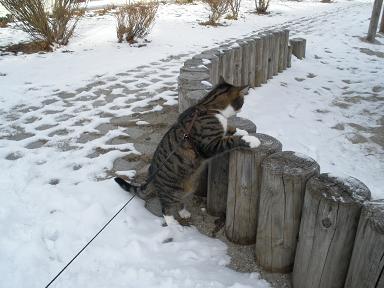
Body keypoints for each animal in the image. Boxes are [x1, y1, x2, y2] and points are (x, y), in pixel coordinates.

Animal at [112, 80, 260, 226]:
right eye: (242, 101)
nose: (242, 108)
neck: (210, 107)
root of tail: (151, 175)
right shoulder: (210, 145)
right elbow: (230, 140)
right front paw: (250, 139)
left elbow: (230, 129)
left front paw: (240, 130)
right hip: (170, 190)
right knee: (166, 207)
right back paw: (173, 224)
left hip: (190, 186)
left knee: (182, 200)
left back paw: (183, 212)